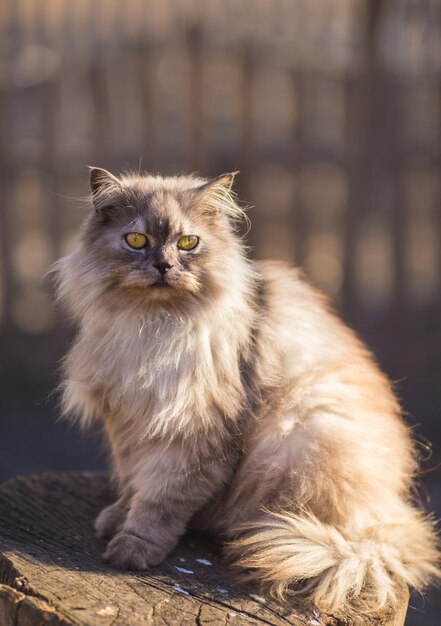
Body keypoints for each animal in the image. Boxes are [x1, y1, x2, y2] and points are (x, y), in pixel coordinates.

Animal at [56, 166, 438, 608]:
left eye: (188, 243)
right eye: (137, 240)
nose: (164, 265)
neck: (149, 325)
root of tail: (384, 521)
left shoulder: (190, 430)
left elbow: (159, 499)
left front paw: (133, 547)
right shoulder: (129, 420)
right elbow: (134, 481)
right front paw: (116, 517)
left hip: (305, 433)